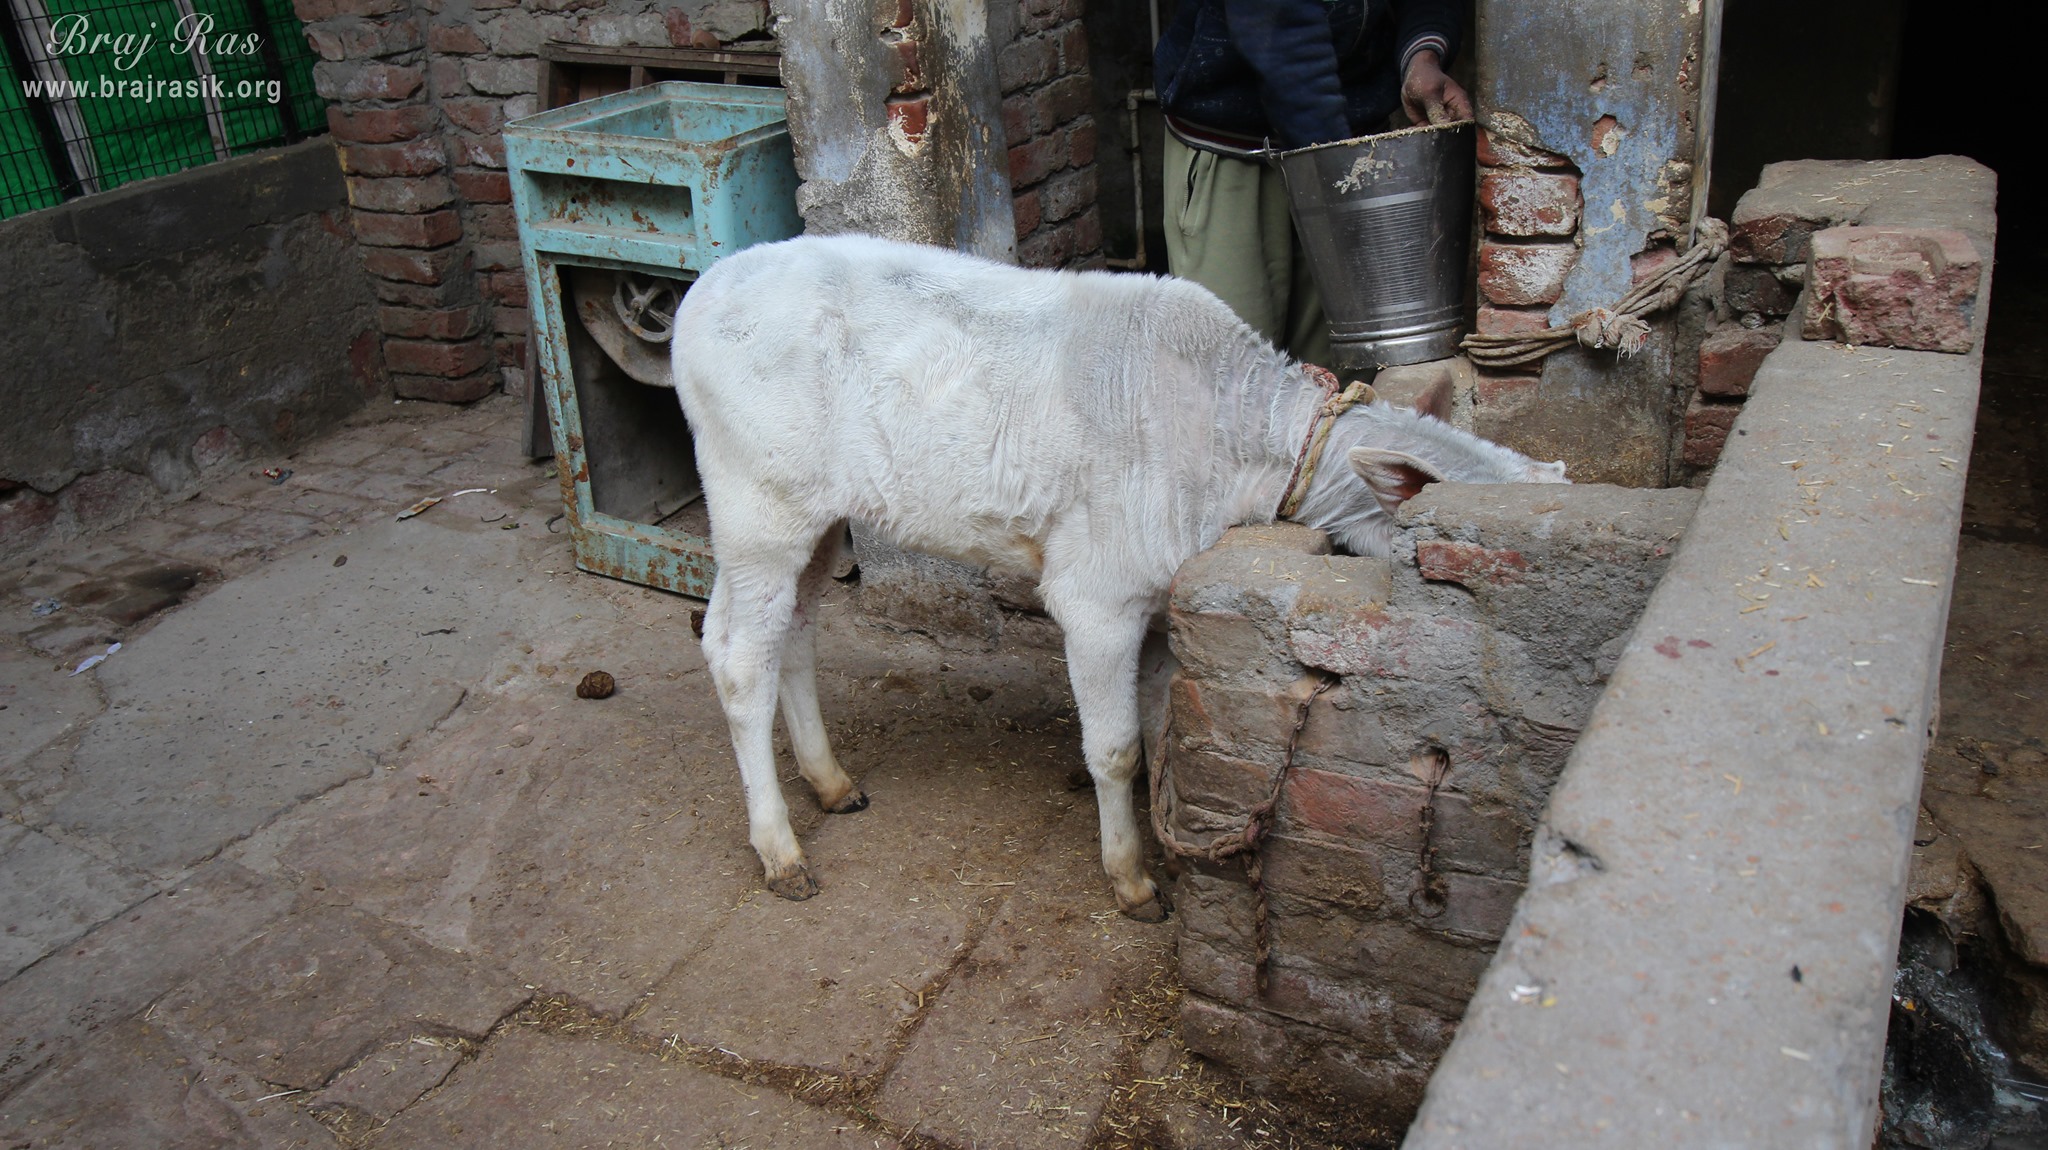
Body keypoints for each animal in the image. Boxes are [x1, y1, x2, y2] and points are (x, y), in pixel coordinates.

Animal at [668, 234, 1566, 921]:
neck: (1231, 441)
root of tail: (704, 291)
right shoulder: (1098, 597)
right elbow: (1117, 750)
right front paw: (1132, 878)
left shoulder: (1163, 599)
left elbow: (1165, 732)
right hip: (757, 507)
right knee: (738, 658)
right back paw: (779, 848)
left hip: (816, 517)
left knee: (792, 632)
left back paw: (829, 782)